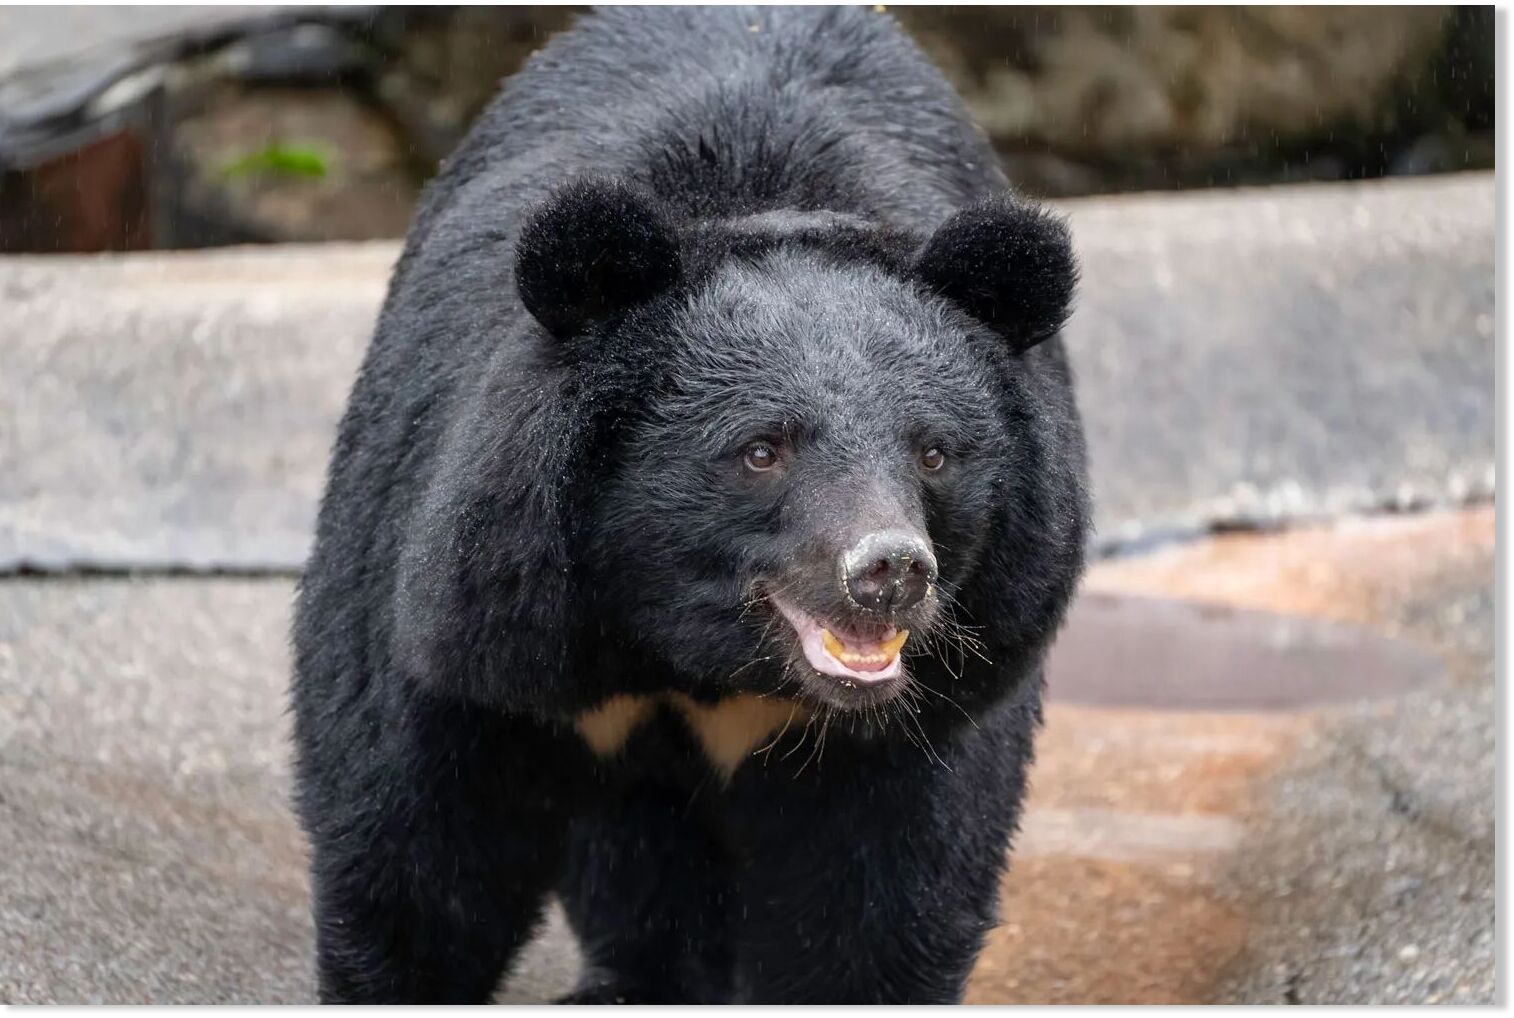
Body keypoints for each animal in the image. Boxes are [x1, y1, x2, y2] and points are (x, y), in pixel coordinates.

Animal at [290, 5, 1088, 1005]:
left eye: (934, 452)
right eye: (761, 451)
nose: (889, 570)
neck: (696, 650)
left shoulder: (945, 688)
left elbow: (886, 892)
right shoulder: (484, 604)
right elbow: (416, 836)